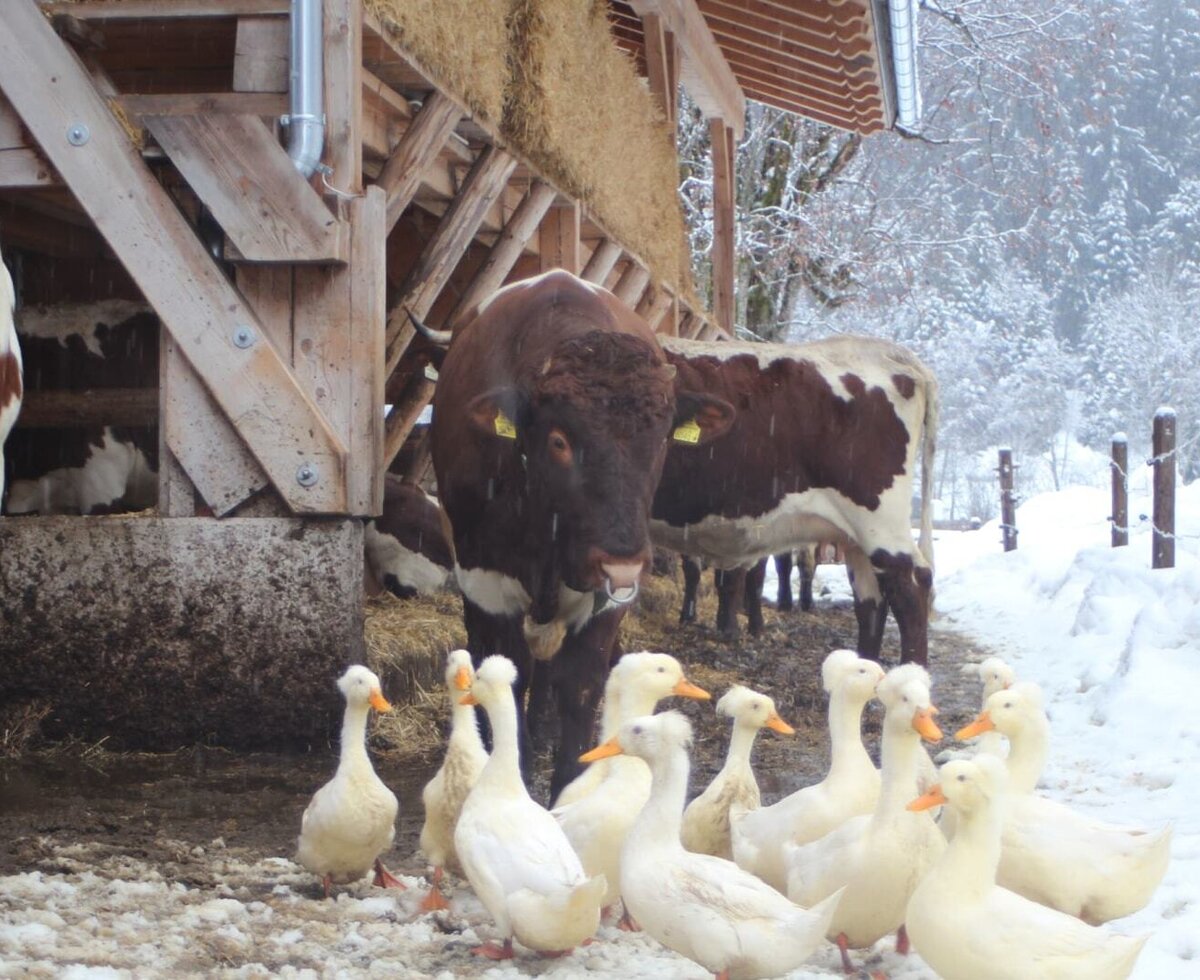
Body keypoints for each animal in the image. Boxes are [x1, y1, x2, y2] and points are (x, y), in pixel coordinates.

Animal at [422, 270, 732, 798]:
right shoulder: (485, 582)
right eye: (559, 440)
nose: (622, 560)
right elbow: (508, 676)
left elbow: (581, 685)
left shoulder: (606, 601)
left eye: (661, 441)